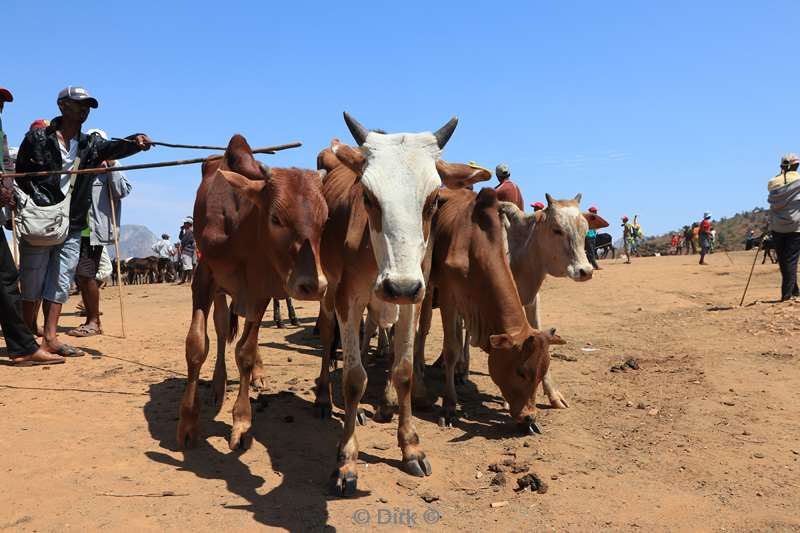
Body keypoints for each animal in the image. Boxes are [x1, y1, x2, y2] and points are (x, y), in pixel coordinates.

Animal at [176, 135, 328, 450]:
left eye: (325, 221)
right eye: (276, 218)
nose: (313, 285)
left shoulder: (259, 290)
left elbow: (245, 352)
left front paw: (242, 422)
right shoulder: (204, 277)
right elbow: (197, 345)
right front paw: (188, 423)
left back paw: (257, 375)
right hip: (221, 292)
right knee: (222, 329)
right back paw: (218, 386)